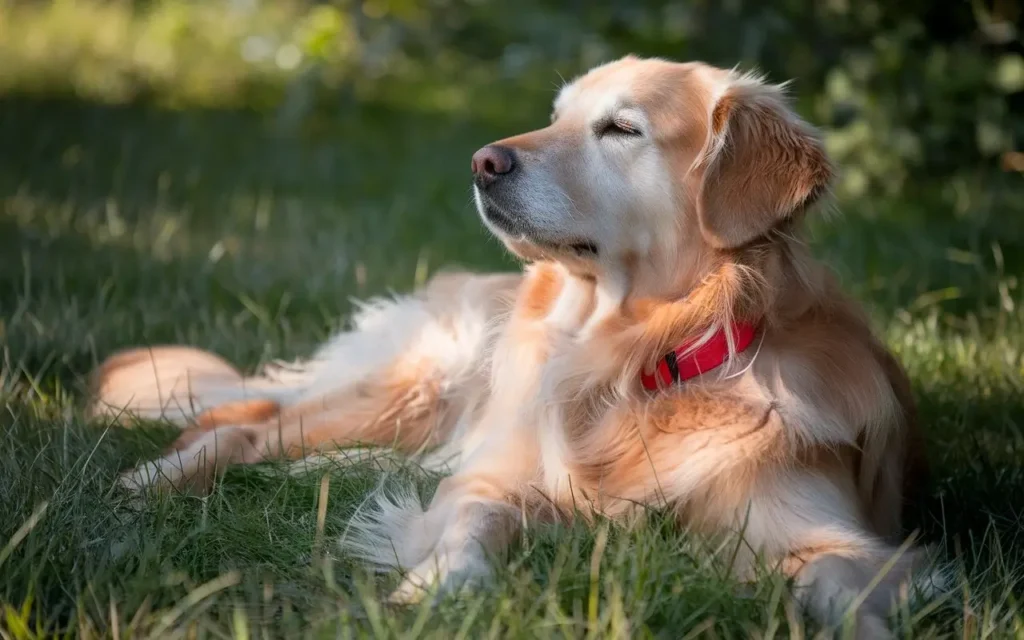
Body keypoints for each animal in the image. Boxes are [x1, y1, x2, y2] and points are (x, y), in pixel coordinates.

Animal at [94, 57, 937, 634]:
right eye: (557, 115)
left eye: (622, 129)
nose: (482, 163)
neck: (634, 362)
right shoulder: (497, 477)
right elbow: (473, 520)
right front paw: (438, 586)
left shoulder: (834, 533)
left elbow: (841, 578)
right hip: (421, 388)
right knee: (244, 421)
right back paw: (151, 480)